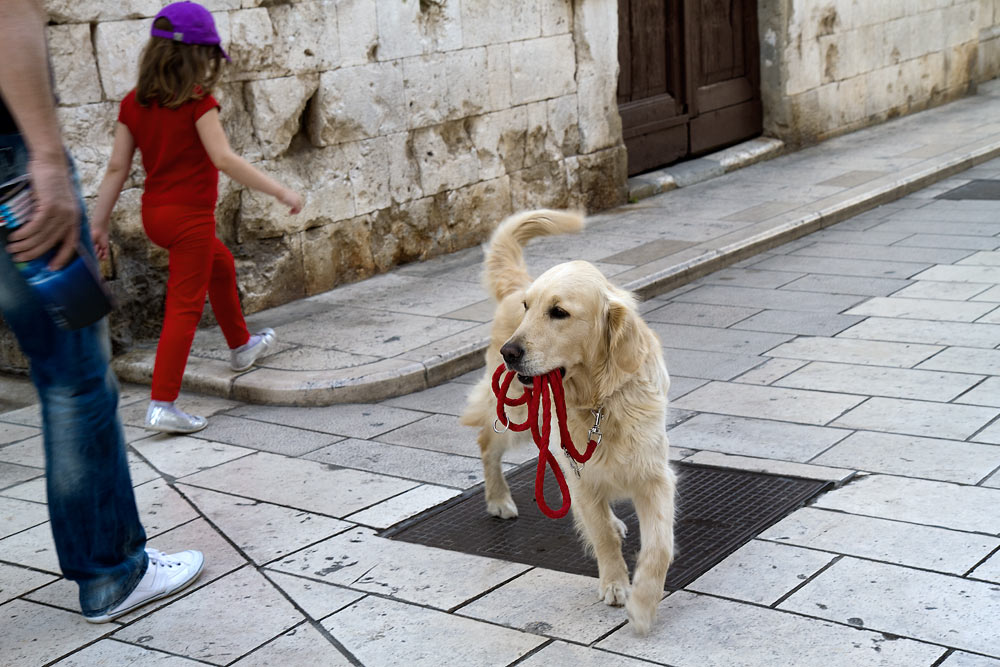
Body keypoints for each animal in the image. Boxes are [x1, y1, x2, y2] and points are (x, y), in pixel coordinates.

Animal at [462, 209, 680, 636]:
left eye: (559, 312)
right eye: (529, 308)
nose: (510, 352)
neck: (599, 401)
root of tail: (514, 287)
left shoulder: (653, 475)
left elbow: (659, 545)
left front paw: (644, 605)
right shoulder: (578, 477)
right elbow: (600, 534)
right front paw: (616, 584)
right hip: (514, 413)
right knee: (486, 442)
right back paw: (498, 499)